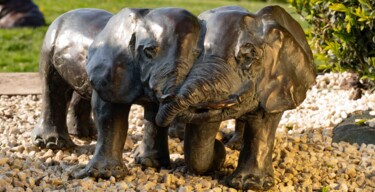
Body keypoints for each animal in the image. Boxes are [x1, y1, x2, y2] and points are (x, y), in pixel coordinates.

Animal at [72, 7, 203, 178]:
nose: (74, 174)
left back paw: (84, 135)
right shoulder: (110, 73)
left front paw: (150, 164)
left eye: (196, 55)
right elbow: (109, 115)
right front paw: (104, 175)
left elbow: (154, 116)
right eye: (148, 52)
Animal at [156, 5, 318, 190]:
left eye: (249, 58)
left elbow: (262, 123)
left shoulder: (277, 87)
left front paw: (250, 184)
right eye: (193, 55)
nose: (219, 146)